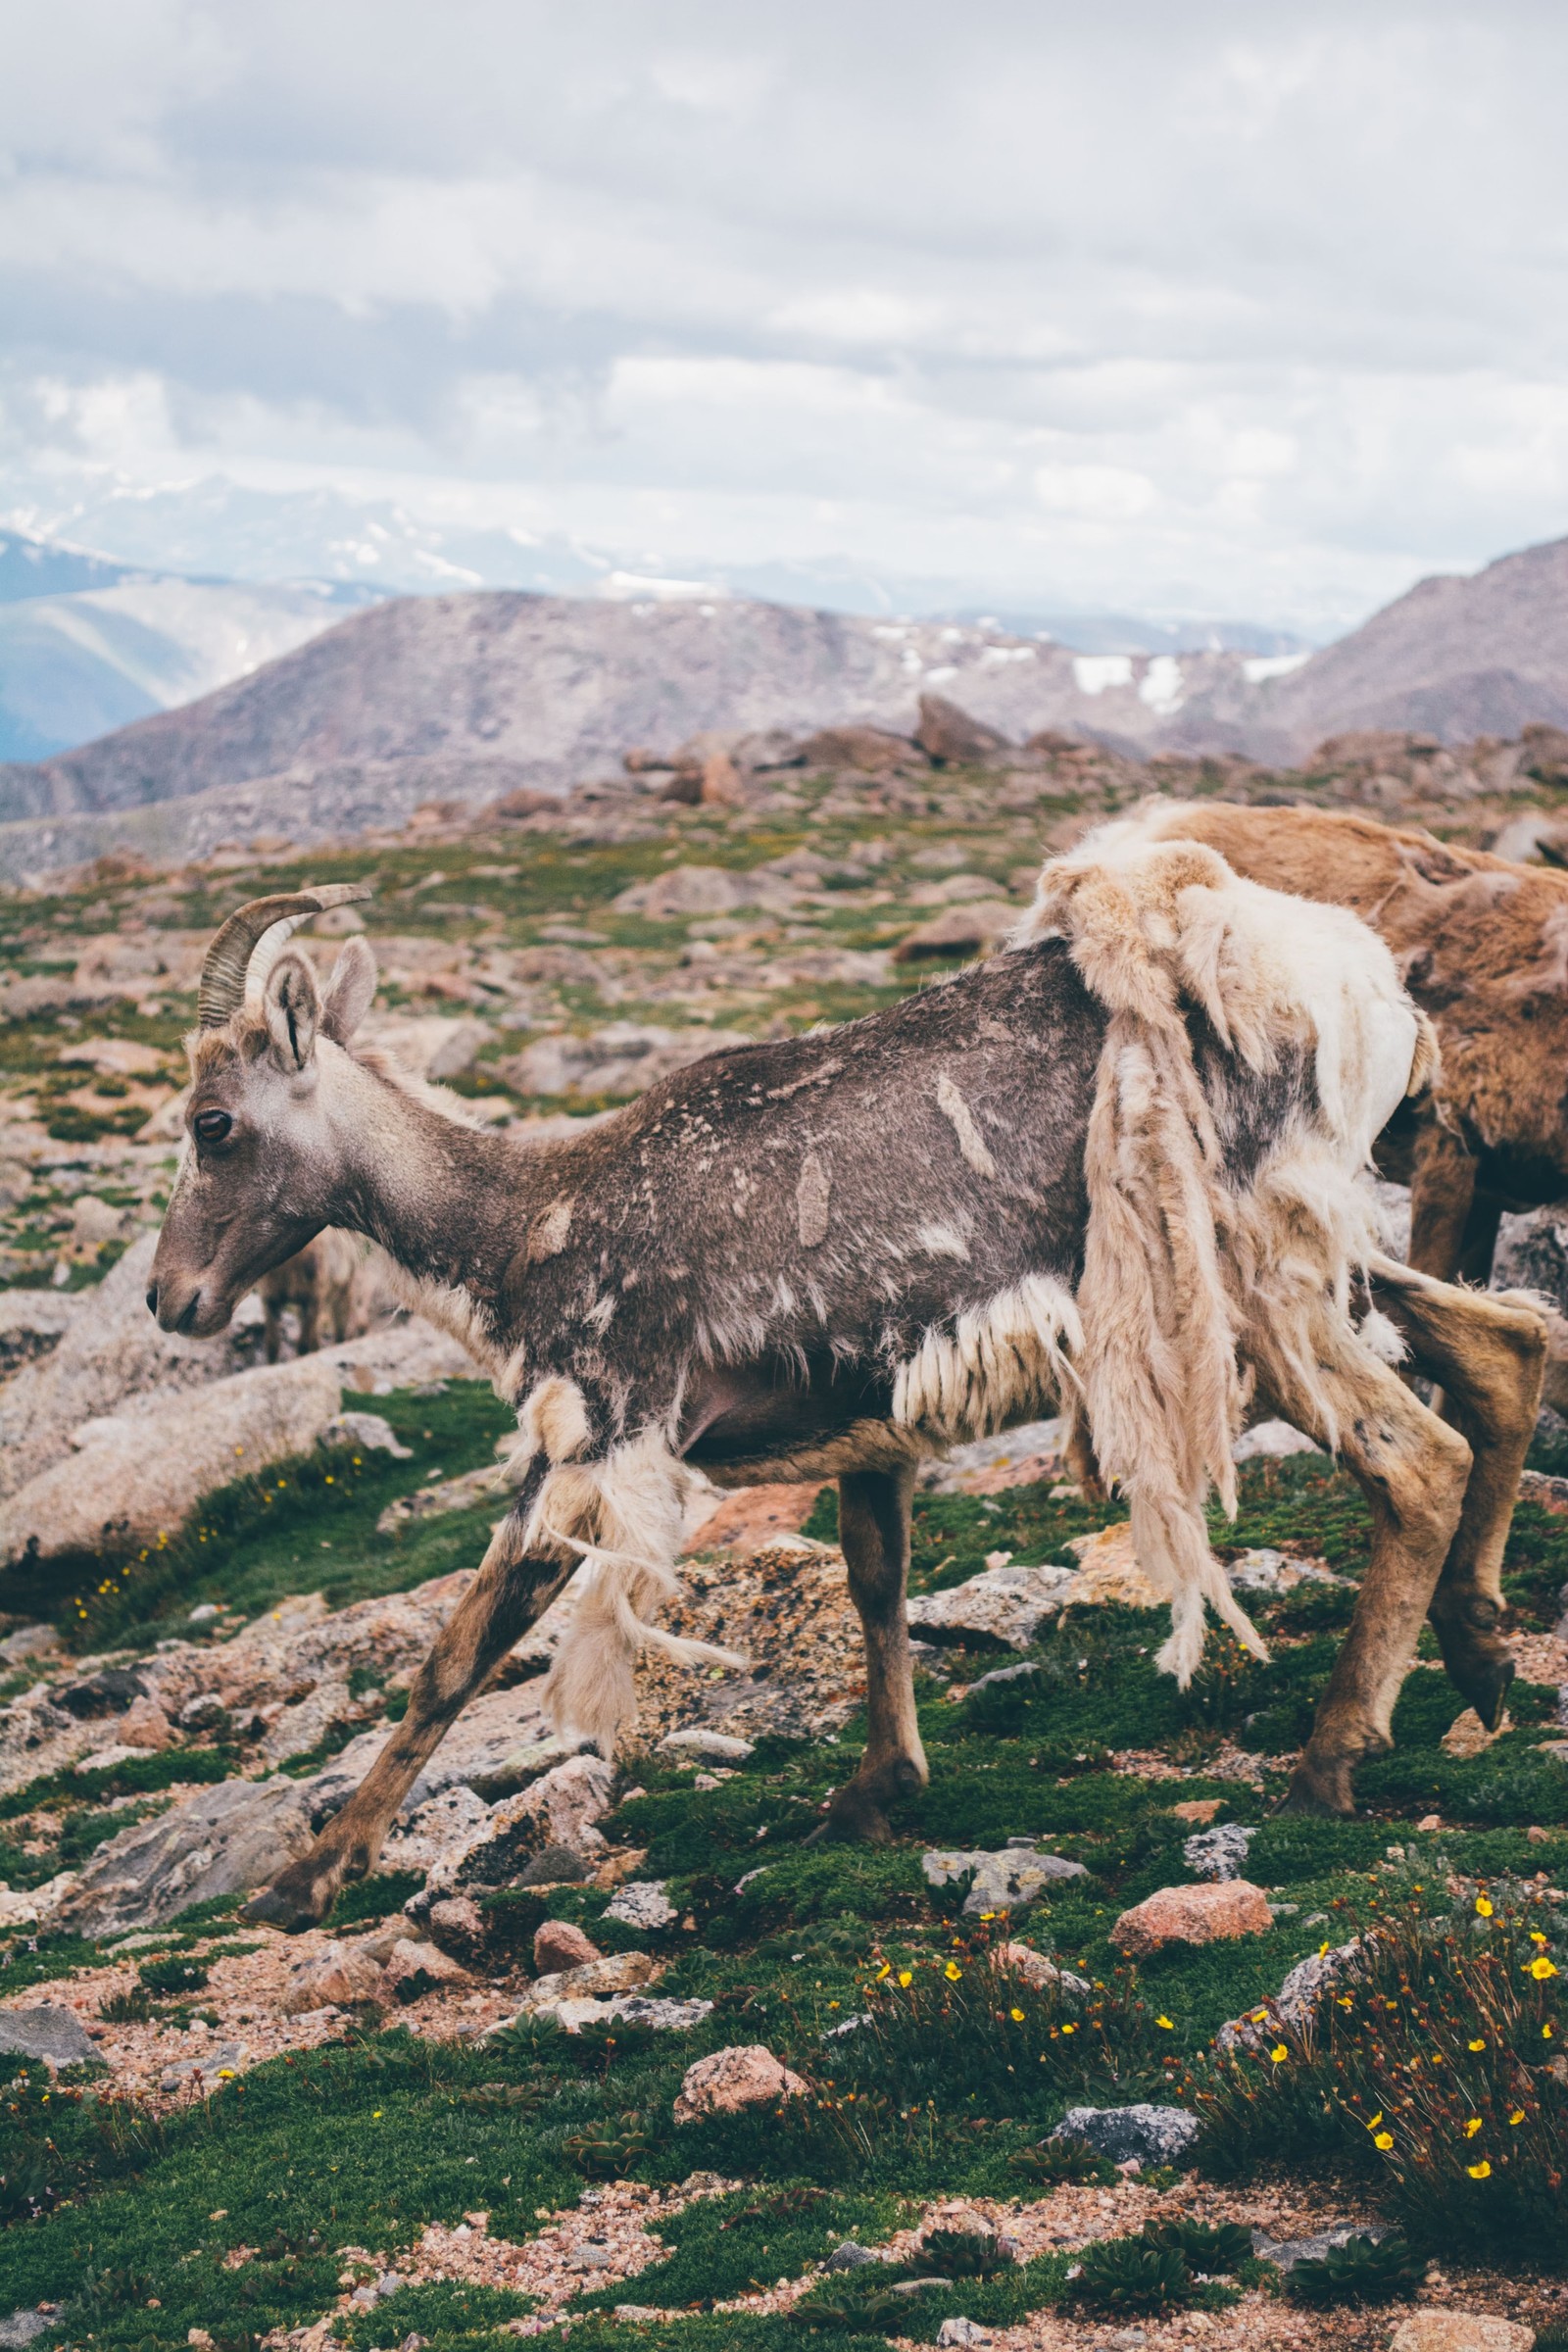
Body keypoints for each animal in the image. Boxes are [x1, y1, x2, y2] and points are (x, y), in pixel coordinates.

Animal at [146, 861, 1545, 1931]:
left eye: (213, 1122)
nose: (170, 1300)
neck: (529, 1227)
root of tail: (1370, 1000)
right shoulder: (868, 1420)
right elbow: (876, 1583)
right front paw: (879, 1789)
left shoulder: (606, 1423)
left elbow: (456, 1652)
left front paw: (306, 1879)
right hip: (1324, 1259)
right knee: (1506, 1346)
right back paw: (1480, 1661)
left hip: (1255, 1284)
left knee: (1413, 1453)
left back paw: (1331, 1758)